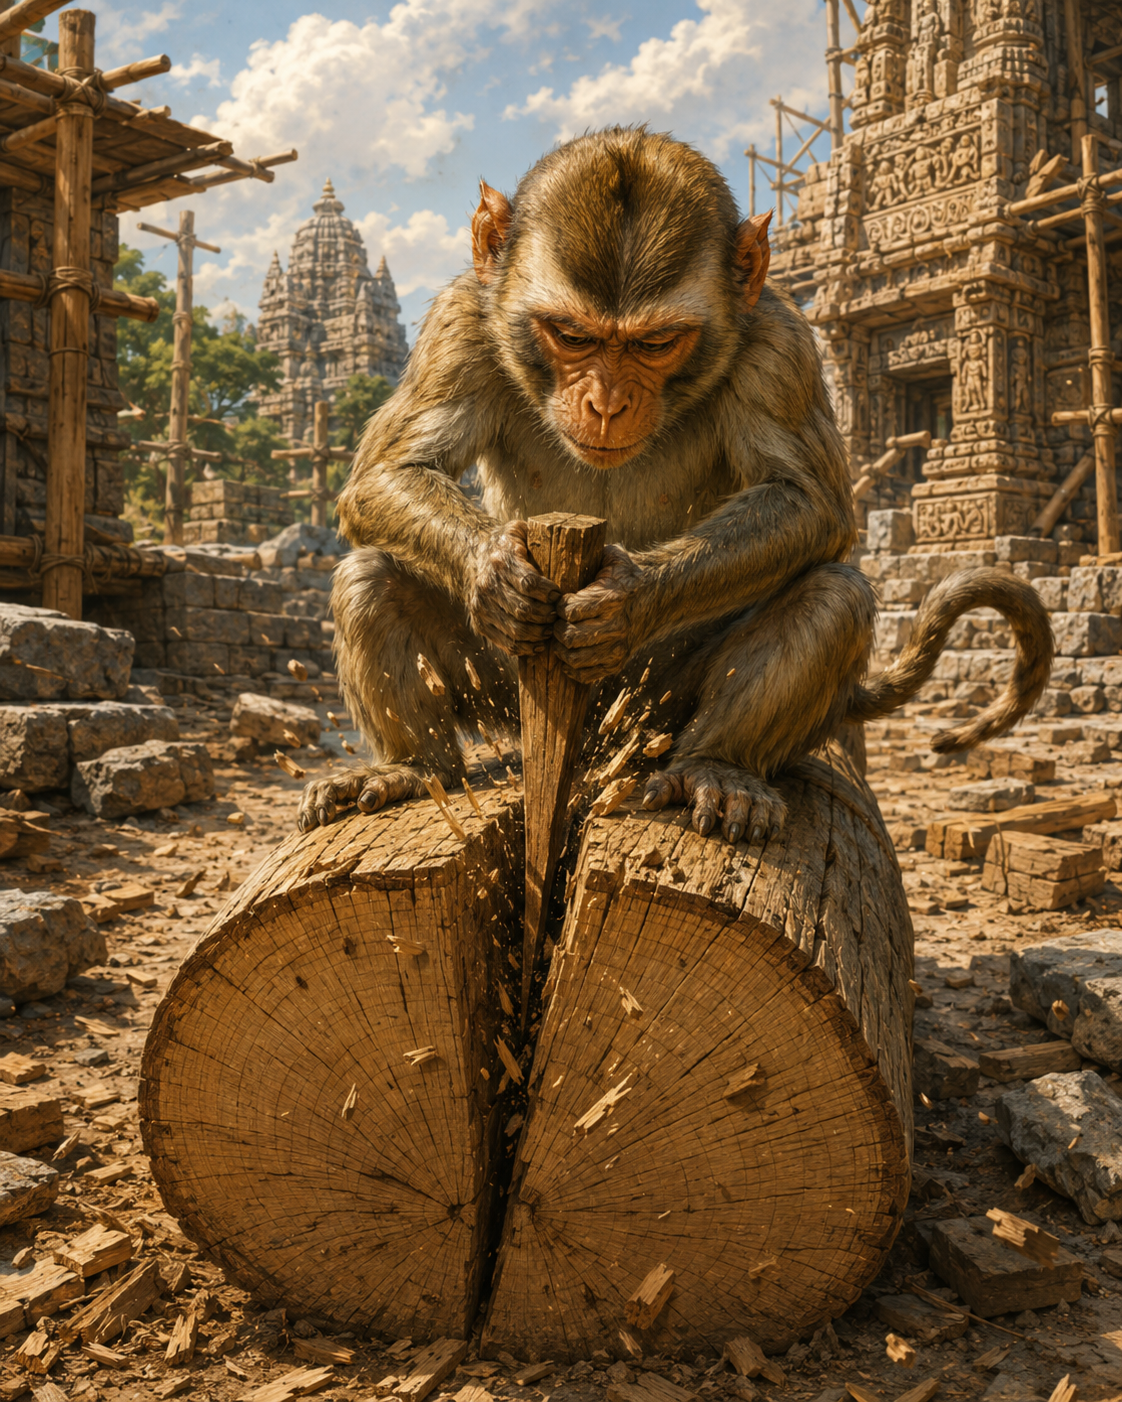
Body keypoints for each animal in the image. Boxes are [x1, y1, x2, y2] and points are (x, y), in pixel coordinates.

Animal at [298, 127, 1053, 844]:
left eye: (655, 343)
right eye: (570, 334)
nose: (606, 404)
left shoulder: (779, 343)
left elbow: (808, 499)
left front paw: (627, 601)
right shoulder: (460, 321)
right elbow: (387, 473)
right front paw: (499, 575)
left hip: (654, 702)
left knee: (833, 596)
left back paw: (715, 769)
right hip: (512, 692)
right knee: (369, 574)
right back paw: (413, 767)